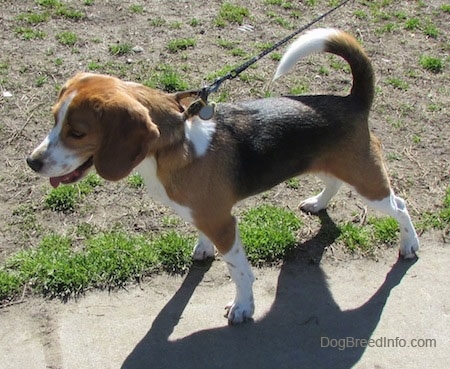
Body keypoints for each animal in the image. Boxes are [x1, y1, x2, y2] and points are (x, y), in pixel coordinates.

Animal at [26, 28, 418, 322]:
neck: (175, 143)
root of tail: (354, 100)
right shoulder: (203, 215)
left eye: (78, 133)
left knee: (400, 205)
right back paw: (319, 203)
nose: (32, 162)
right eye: (54, 119)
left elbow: (239, 270)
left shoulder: (224, 223)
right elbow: (202, 235)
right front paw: (203, 249)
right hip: (335, 167)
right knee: (333, 182)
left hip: (368, 183)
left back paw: (409, 245)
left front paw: (243, 307)